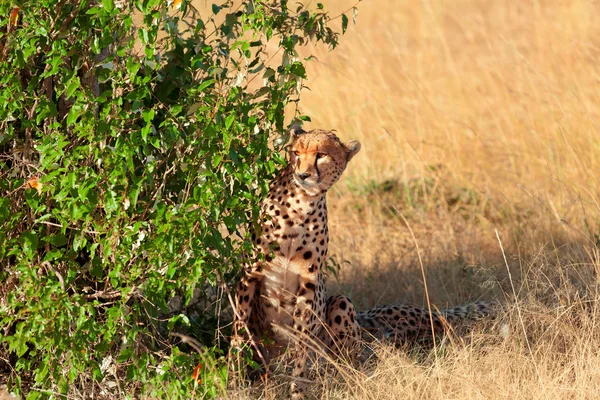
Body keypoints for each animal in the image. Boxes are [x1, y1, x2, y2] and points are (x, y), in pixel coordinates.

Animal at [232, 128, 494, 396]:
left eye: (321, 155)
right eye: (295, 153)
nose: (303, 174)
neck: (300, 204)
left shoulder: (309, 282)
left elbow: (302, 342)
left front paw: (297, 388)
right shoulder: (250, 273)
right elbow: (239, 331)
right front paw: (233, 380)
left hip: (341, 304)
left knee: (344, 363)